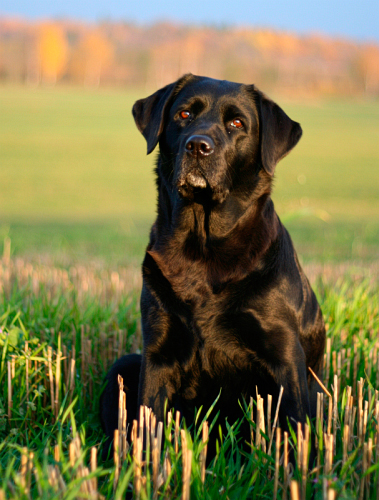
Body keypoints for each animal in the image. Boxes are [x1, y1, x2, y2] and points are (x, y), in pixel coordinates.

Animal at [101, 74, 326, 458]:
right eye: (184, 114)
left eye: (237, 123)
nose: (198, 146)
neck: (203, 247)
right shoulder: (158, 353)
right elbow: (148, 425)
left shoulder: (285, 357)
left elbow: (293, 427)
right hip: (126, 363)